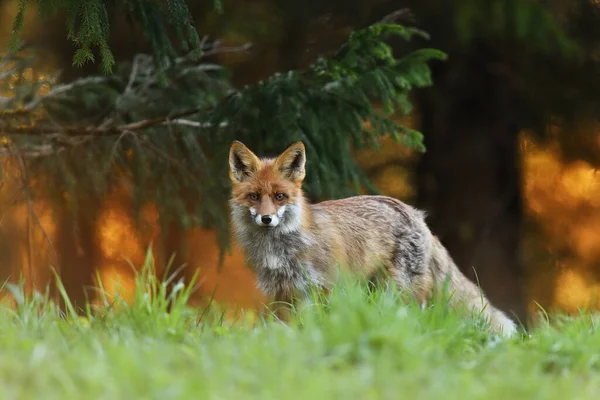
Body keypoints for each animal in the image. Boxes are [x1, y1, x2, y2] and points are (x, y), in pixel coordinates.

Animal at [227, 139, 516, 336]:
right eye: (254, 196)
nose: (266, 219)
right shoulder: (282, 294)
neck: (281, 250)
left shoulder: (323, 288)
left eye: (279, 196)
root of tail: (416, 214)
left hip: (399, 291)